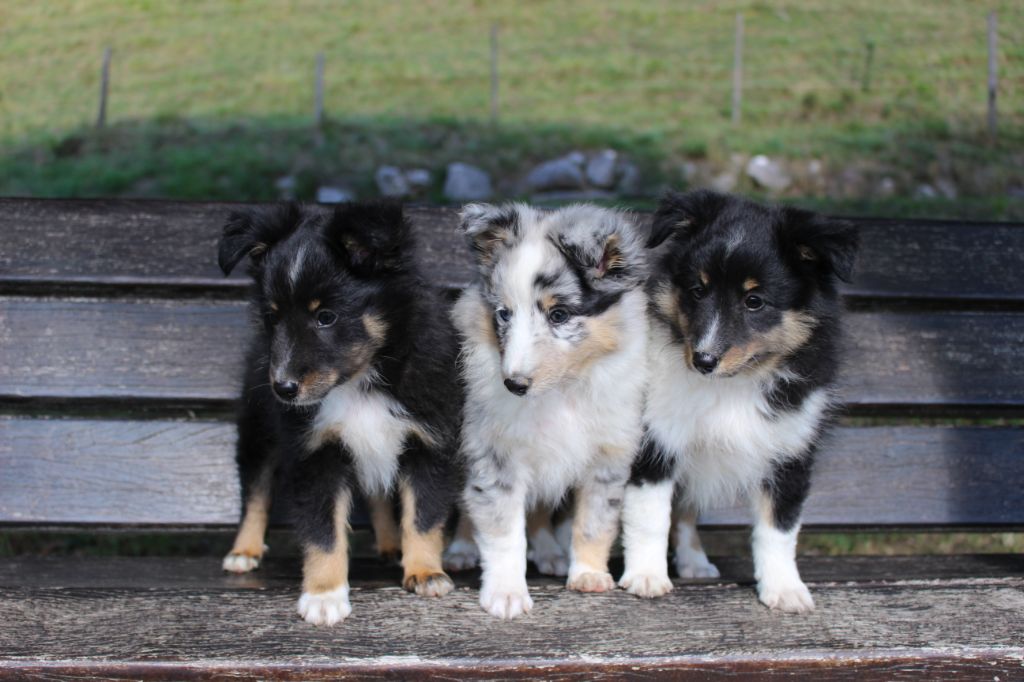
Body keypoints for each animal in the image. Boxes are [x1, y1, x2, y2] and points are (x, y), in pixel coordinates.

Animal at [217, 200, 460, 622]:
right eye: (273, 317)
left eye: (326, 316)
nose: (283, 388)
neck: (360, 383)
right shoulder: (316, 453)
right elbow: (323, 530)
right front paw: (324, 595)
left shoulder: (428, 442)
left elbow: (423, 515)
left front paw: (425, 572)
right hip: (259, 429)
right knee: (256, 489)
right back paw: (243, 551)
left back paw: (391, 545)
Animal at [454, 201, 647, 614]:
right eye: (504, 313)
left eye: (559, 315)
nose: (513, 384)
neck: (561, 391)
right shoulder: (495, 451)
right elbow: (503, 528)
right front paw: (506, 594)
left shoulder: (607, 456)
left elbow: (593, 522)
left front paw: (588, 575)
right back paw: (460, 549)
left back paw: (550, 553)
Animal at [618, 187, 860, 610]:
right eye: (698, 290)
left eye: (754, 301)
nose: (703, 361)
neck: (733, 384)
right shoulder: (656, 440)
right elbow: (649, 514)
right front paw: (646, 576)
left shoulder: (790, 451)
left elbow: (778, 527)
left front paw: (784, 589)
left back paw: (694, 562)